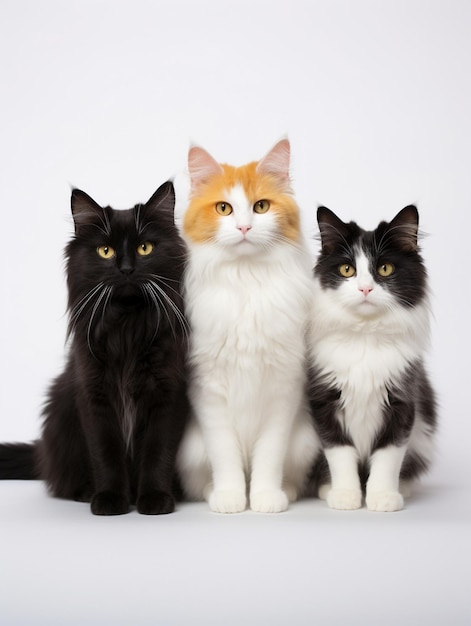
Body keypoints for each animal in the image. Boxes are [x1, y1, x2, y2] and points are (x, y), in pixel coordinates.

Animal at [0, 179, 188, 512]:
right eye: (105, 251)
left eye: (145, 248)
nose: (126, 269)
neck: (127, 327)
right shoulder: (94, 395)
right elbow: (106, 452)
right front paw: (111, 500)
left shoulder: (169, 392)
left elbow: (158, 451)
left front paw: (154, 499)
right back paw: (86, 492)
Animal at [308, 207, 436, 510]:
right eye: (347, 270)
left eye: (384, 269)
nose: (365, 289)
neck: (365, 336)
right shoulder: (324, 401)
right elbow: (340, 454)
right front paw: (345, 496)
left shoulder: (402, 401)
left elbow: (388, 456)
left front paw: (383, 497)